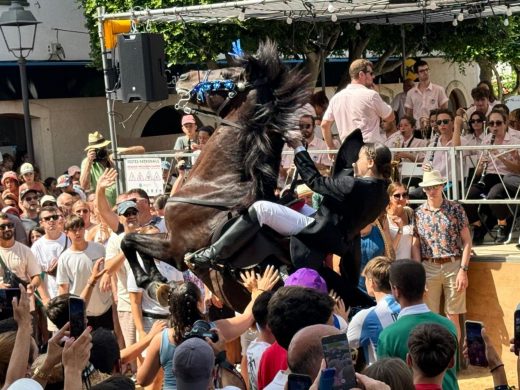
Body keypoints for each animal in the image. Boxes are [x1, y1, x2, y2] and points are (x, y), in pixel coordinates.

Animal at [121, 41, 308, 310]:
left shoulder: (175, 247)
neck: (214, 185)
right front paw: (157, 281)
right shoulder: (168, 238)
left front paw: (149, 280)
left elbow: (128, 240)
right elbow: (133, 239)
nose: (181, 76)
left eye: (228, 73)